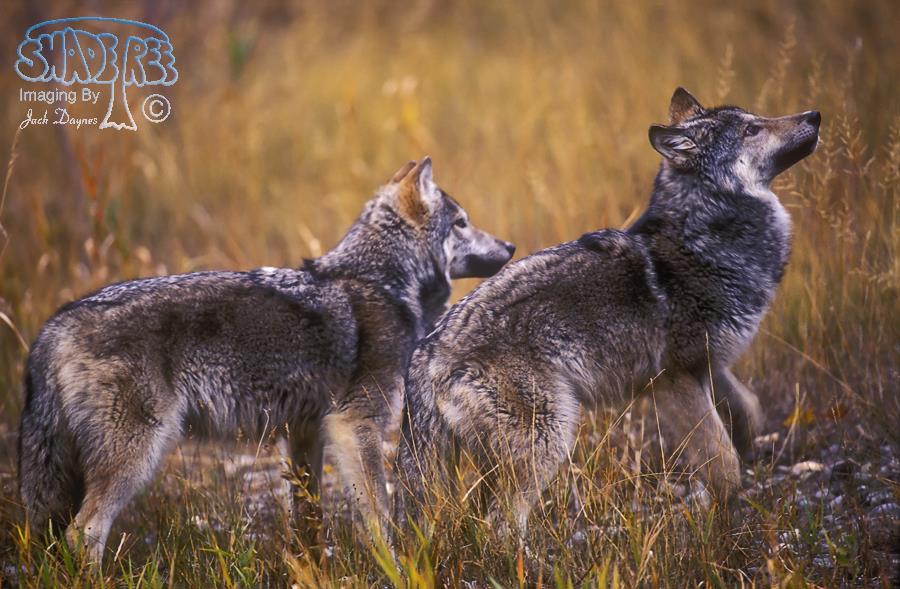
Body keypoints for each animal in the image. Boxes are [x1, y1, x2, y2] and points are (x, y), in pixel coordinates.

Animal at [18, 157, 515, 561]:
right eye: (462, 223)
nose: (510, 247)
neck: (379, 282)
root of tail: (55, 325)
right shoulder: (357, 423)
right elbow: (379, 513)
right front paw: (395, 565)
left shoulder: (304, 432)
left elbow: (309, 520)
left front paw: (312, 568)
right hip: (137, 457)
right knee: (82, 533)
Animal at [394, 89, 820, 536]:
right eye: (751, 130)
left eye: (757, 119)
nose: (815, 116)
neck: (707, 240)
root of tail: (424, 354)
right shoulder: (673, 380)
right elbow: (723, 463)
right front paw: (723, 520)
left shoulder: (707, 366)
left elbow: (748, 412)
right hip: (551, 436)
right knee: (501, 523)